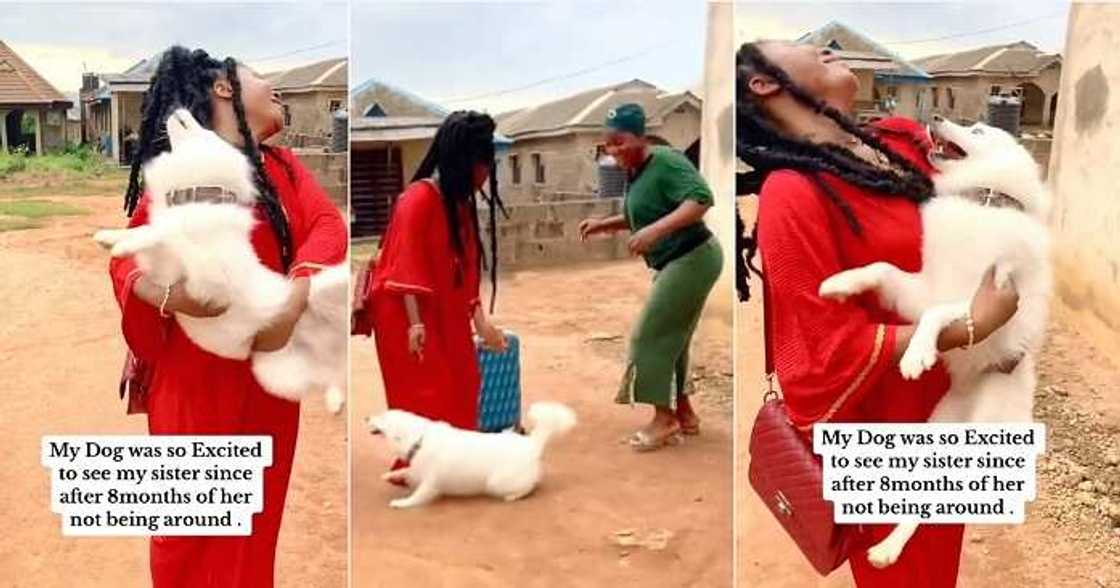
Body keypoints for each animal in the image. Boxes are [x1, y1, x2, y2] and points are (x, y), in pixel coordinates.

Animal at [371, 400, 577, 506]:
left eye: (381, 418)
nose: (366, 417)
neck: (419, 439)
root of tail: (532, 443)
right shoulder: (417, 470)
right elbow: (404, 471)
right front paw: (389, 475)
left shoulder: (430, 482)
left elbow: (417, 496)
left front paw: (401, 503)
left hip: (496, 482)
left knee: (529, 487)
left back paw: (513, 496)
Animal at [819, 117, 1052, 566]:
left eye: (977, 130)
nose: (935, 120)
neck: (983, 201)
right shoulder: (923, 289)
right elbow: (882, 268)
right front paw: (840, 283)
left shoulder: (981, 300)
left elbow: (936, 314)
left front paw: (917, 356)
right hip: (938, 432)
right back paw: (886, 547)